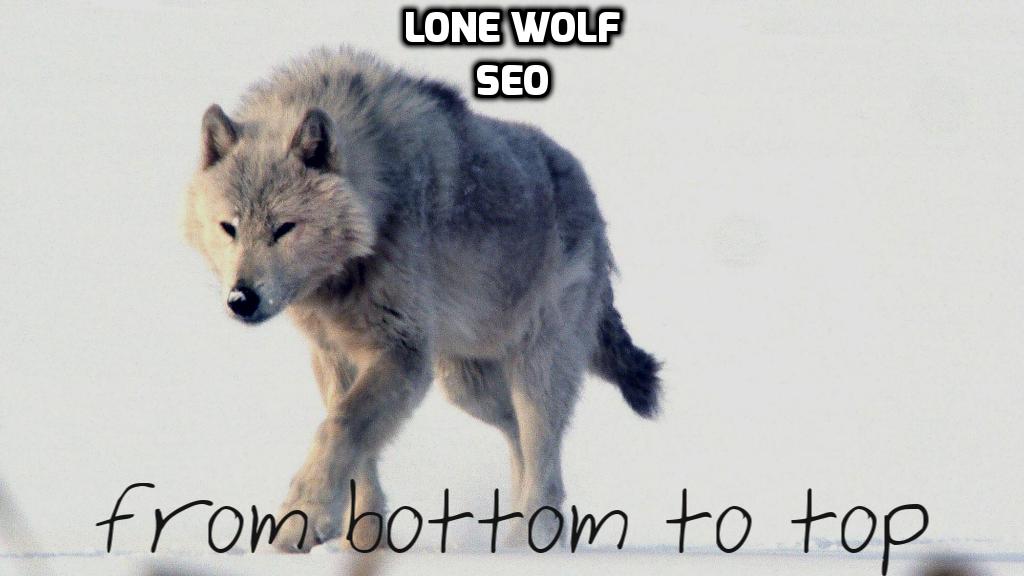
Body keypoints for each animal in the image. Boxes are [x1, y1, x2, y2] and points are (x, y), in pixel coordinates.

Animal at [182, 47, 661, 552]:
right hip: (465, 383)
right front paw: (362, 538)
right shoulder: (334, 354)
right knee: (518, 439)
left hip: (534, 371)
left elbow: (341, 426)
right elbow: (352, 440)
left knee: (542, 455)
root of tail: (588, 192)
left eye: (284, 228)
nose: (241, 298)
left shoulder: (402, 352)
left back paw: (527, 545)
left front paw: (302, 519)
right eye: (229, 228)